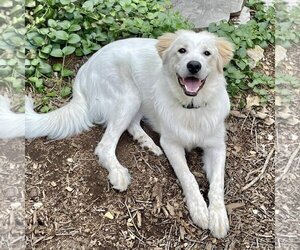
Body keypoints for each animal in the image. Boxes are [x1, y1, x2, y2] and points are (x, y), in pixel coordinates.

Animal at [0, 30, 234, 238]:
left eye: (207, 53)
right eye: (182, 50)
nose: (193, 65)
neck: (192, 108)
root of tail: (83, 72)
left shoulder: (217, 146)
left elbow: (217, 183)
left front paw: (218, 216)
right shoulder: (171, 144)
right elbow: (188, 177)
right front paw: (199, 209)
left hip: (138, 99)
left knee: (132, 125)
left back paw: (147, 143)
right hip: (129, 97)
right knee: (105, 146)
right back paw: (119, 173)